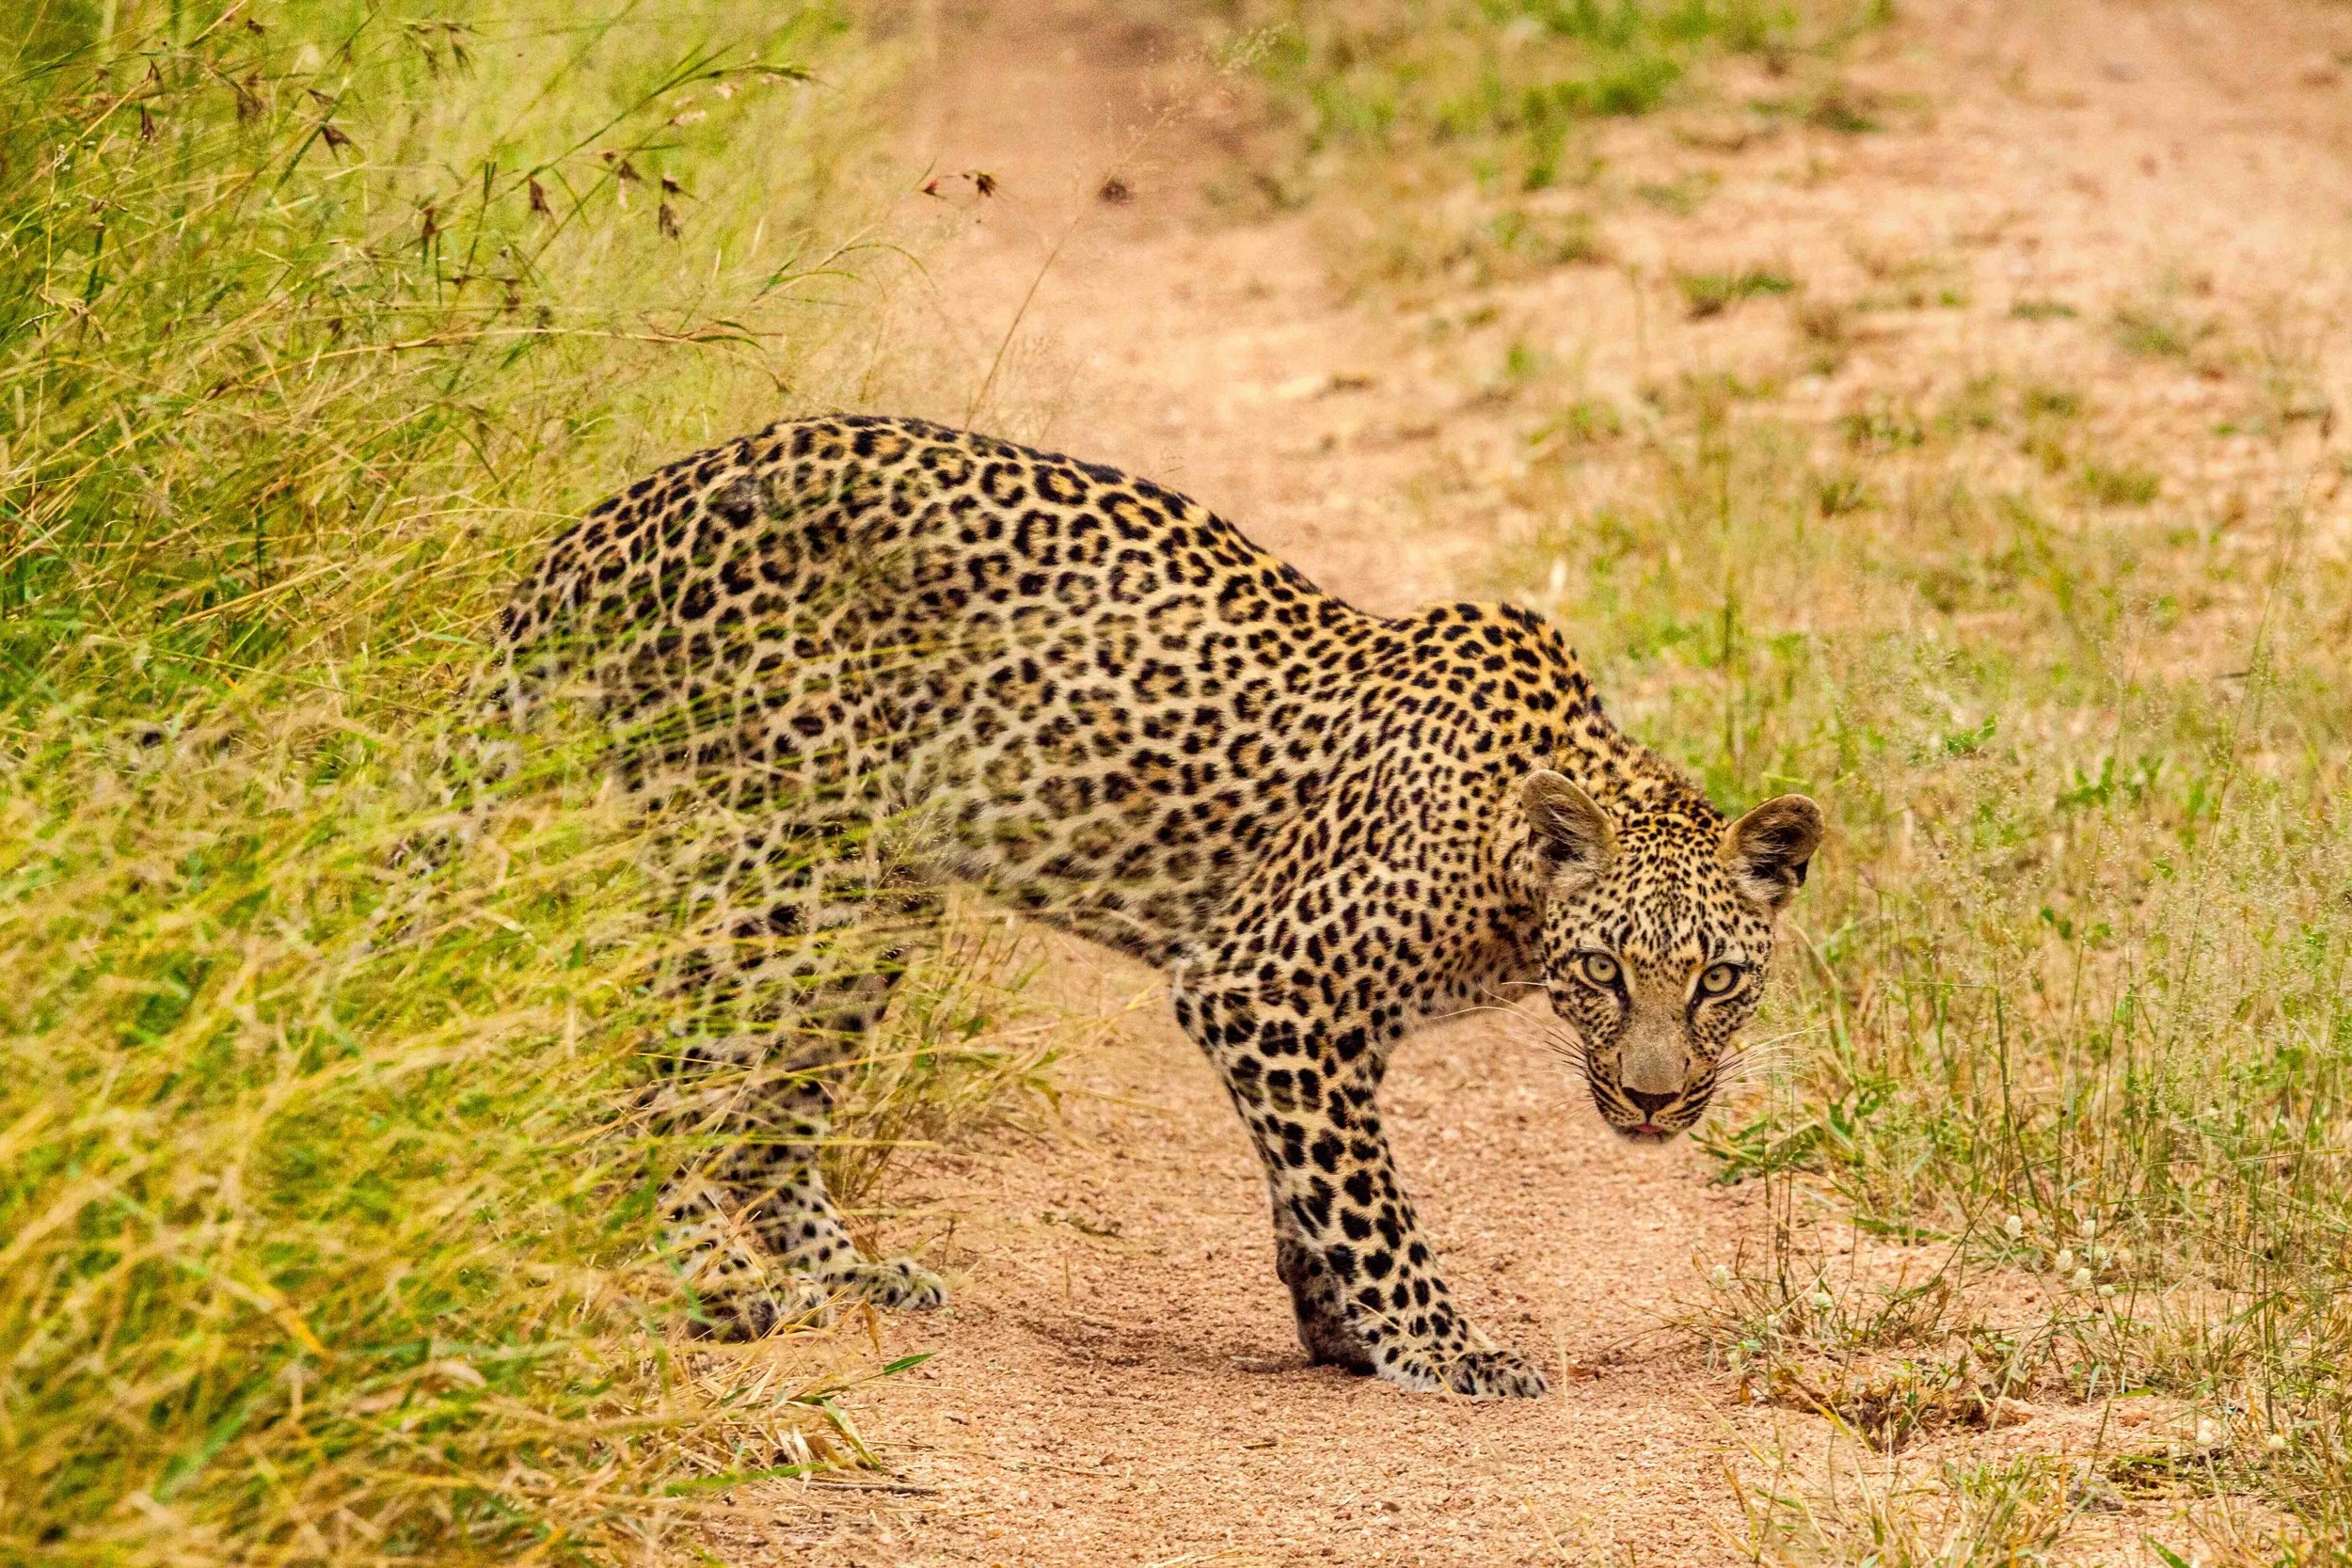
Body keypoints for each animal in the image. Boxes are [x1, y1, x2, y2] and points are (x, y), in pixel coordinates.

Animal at [486, 412, 1823, 1398]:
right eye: (1604, 971)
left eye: (1717, 979)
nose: (1652, 1102)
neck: (1508, 856)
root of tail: (624, 513)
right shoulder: (1264, 984)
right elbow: (1368, 1194)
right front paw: (1438, 1347)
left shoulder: (1330, 1023)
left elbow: (1314, 1177)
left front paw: (1341, 1330)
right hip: (764, 856)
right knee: (652, 1069)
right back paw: (718, 1281)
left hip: (867, 896)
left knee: (771, 1105)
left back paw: (850, 1274)